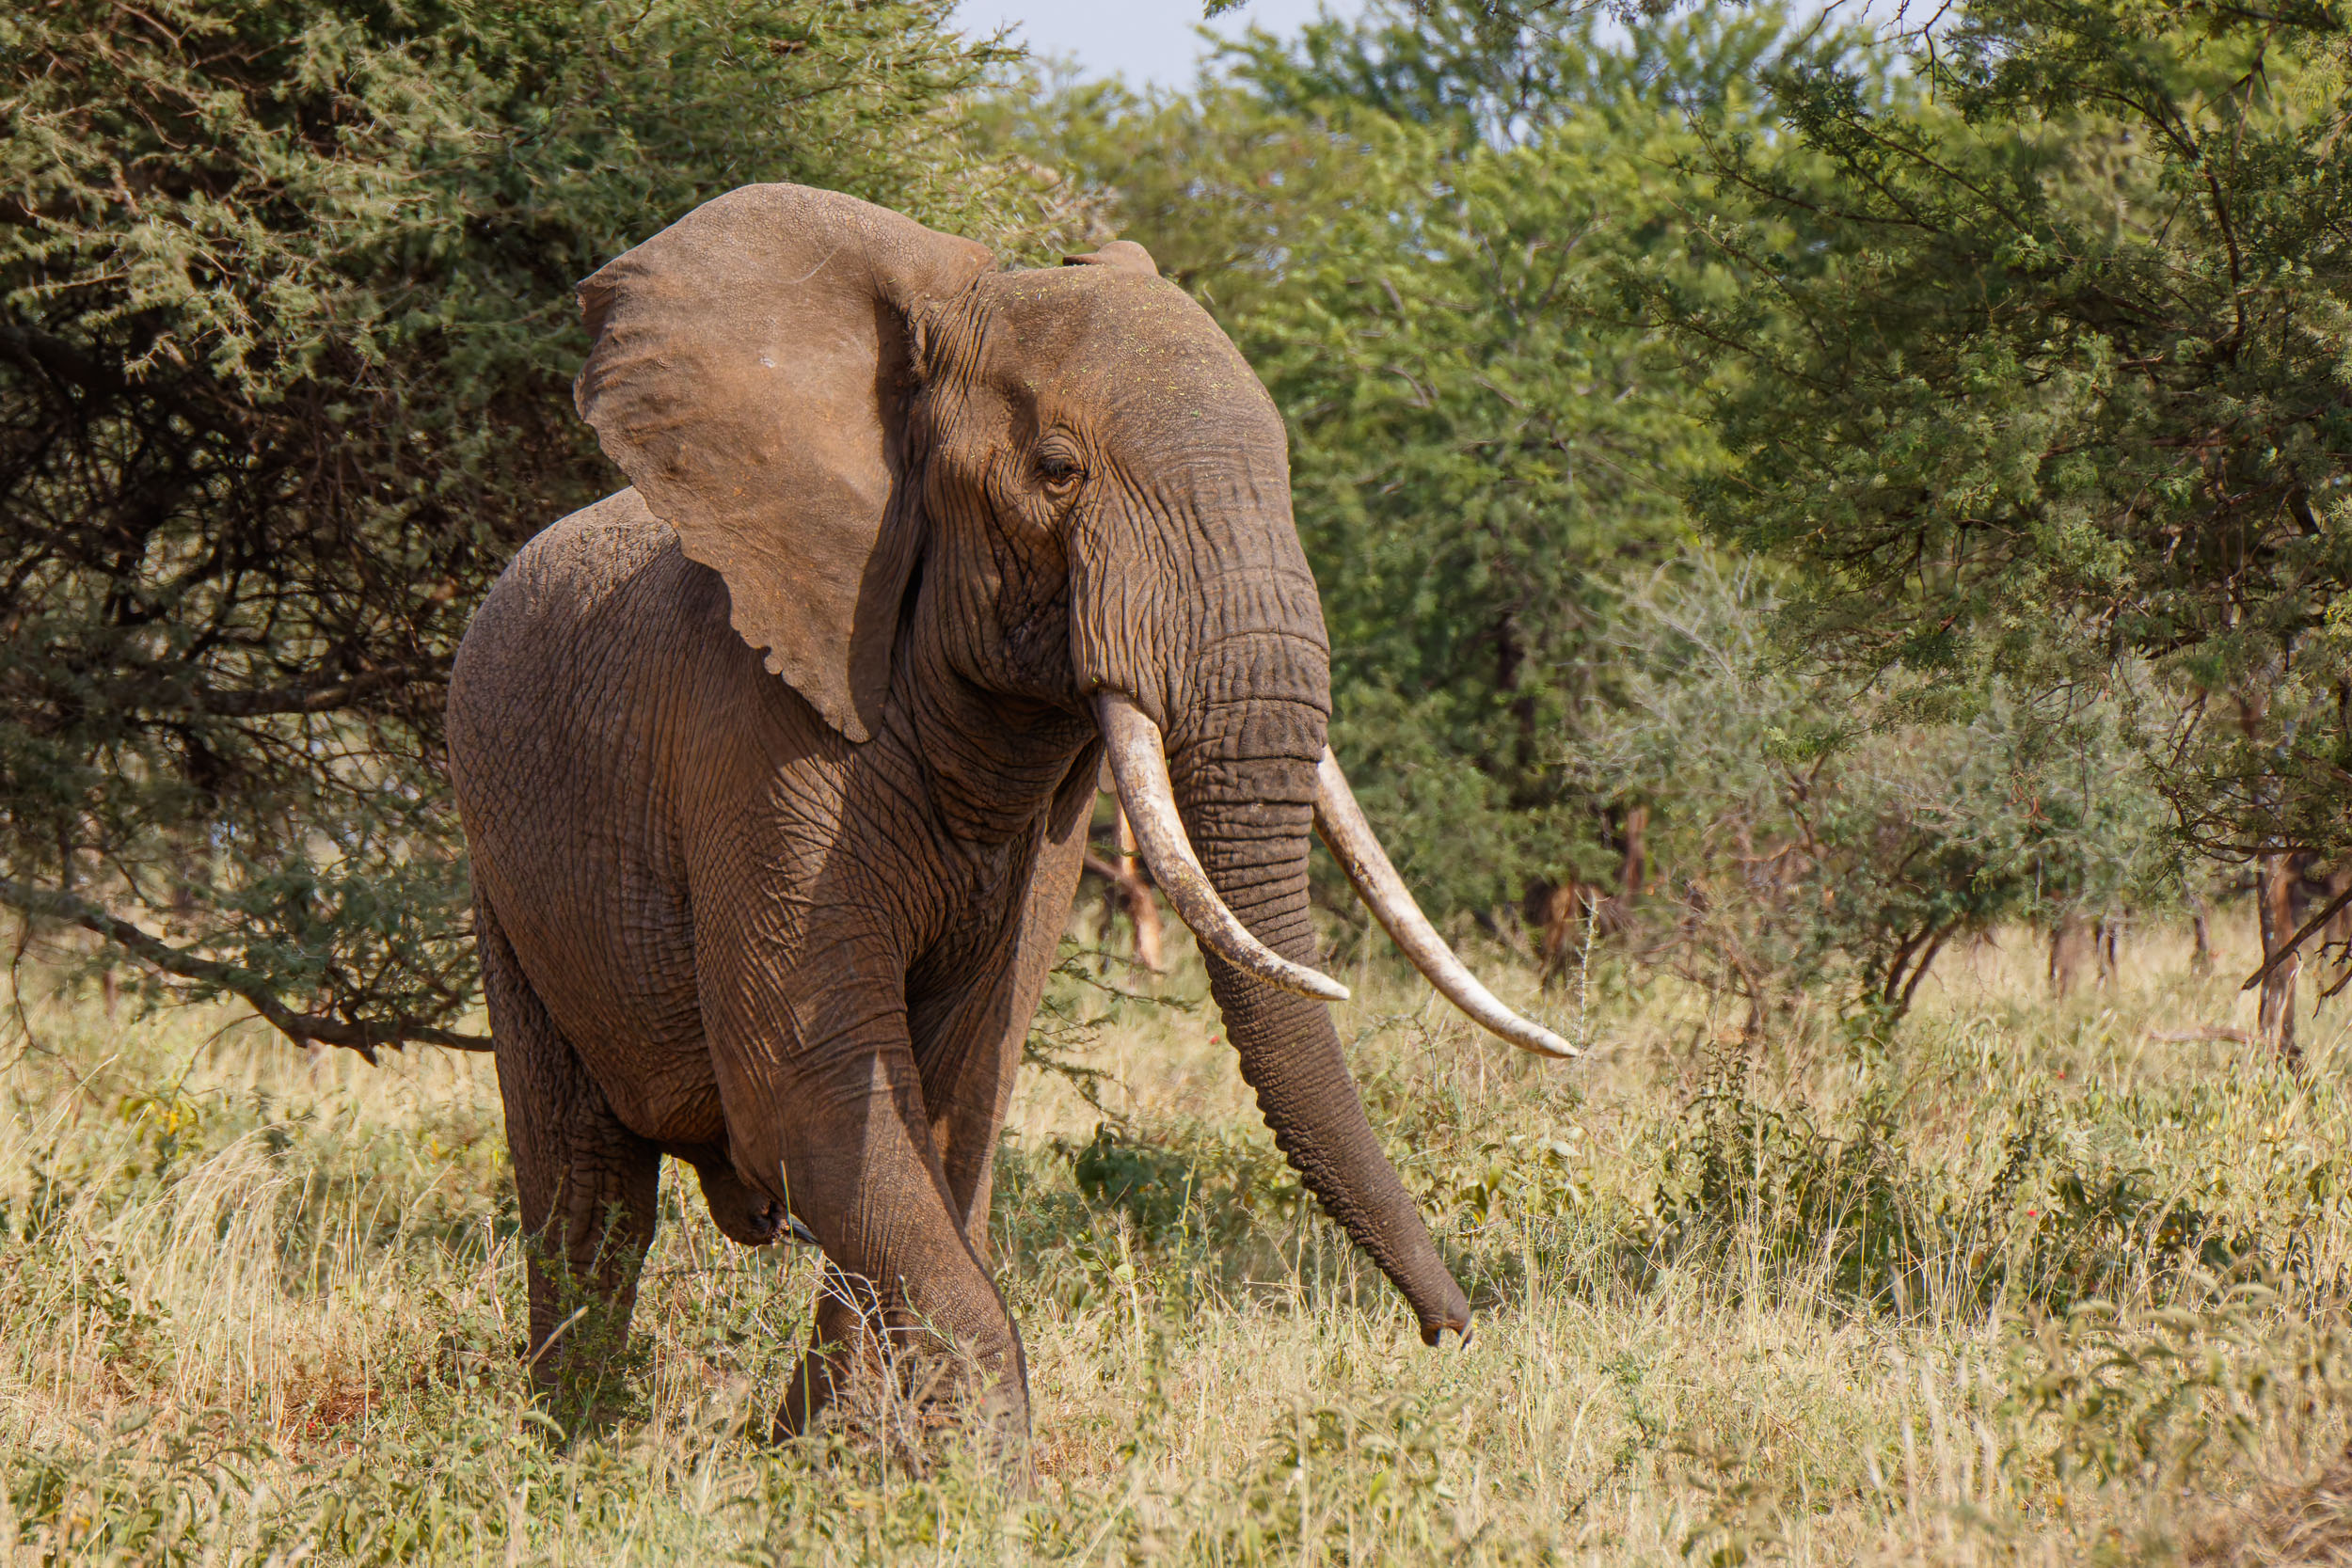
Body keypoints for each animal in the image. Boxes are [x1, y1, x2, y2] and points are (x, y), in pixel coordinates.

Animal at [445, 183, 1573, 1447]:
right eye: (1057, 468)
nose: (1452, 1331)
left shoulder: (1048, 832)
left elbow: (945, 1111)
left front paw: (840, 1458)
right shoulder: (748, 732)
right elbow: (807, 1082)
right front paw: (979, 1470)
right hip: (503, 866)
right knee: (585, 1192)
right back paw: (573, 1447)